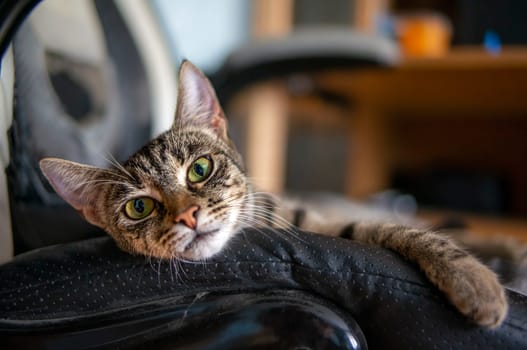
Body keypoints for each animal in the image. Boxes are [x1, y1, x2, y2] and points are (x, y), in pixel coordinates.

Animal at [39, 59, 510, 328]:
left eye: (200, 169)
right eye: (139, 207)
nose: (188, 216)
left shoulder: (314, 220)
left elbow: (398, 230)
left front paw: (473, 279)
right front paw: (478, 279)